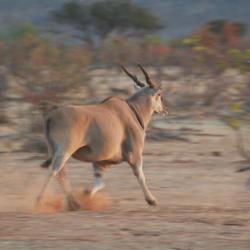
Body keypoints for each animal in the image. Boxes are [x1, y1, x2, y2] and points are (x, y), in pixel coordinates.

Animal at [36, 64, 167, 209]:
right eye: (159, 95)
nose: (164, 109)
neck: (133, 110)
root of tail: (51, 116)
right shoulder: (135, 155)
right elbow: (140, 175)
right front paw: (151, 200)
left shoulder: (100, 162)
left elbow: (99, 183)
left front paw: (86, 193)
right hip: (64, 151)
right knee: (54, 171)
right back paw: (40, 200)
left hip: (55, 151)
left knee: (61, 173)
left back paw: (74, 203)